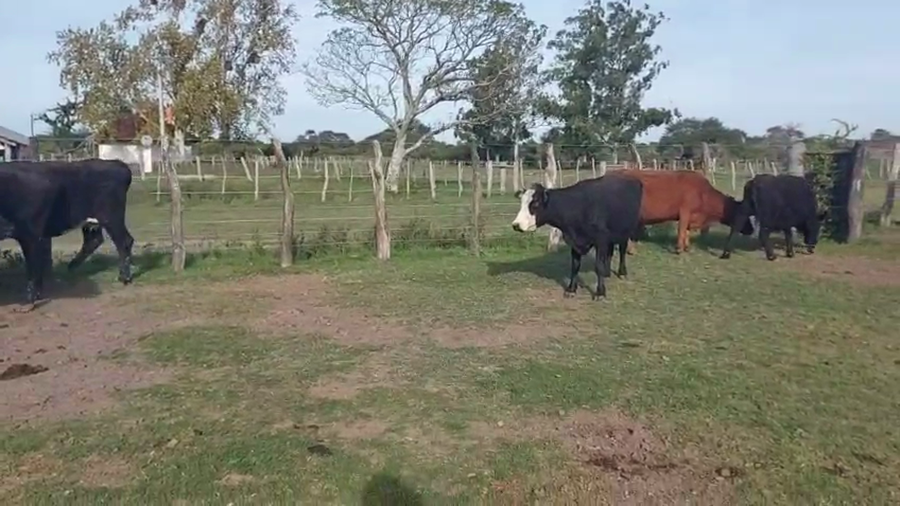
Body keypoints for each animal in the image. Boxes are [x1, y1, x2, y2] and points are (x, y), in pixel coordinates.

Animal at [0, 159, 135, 307]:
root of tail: (115, 163)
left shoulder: (30, 233)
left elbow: (32, 265)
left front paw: (30, 299)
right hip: (92, 222)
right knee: (93, 240)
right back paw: (71, 267)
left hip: (111, 216)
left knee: (124, 241)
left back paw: (124, 277)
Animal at [511, 176, 644, 300]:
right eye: (521, 203)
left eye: (536, 204)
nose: (516, 225)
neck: (579, 207)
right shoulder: (575, 241)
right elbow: (575, 266)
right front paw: (571, 289)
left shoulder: (600, 240)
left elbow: (598, 265)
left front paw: (600, 292)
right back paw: (607, 273)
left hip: (626, 230)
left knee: (622, 251)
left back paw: (622, 272)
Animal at [609, 169, 754, 255]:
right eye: (744, 216)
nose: (752, 230)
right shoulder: (684, 212)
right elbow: (681, 230)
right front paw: (679, 249)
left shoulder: (691, 216)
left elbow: (687, 232)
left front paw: (687, 248)